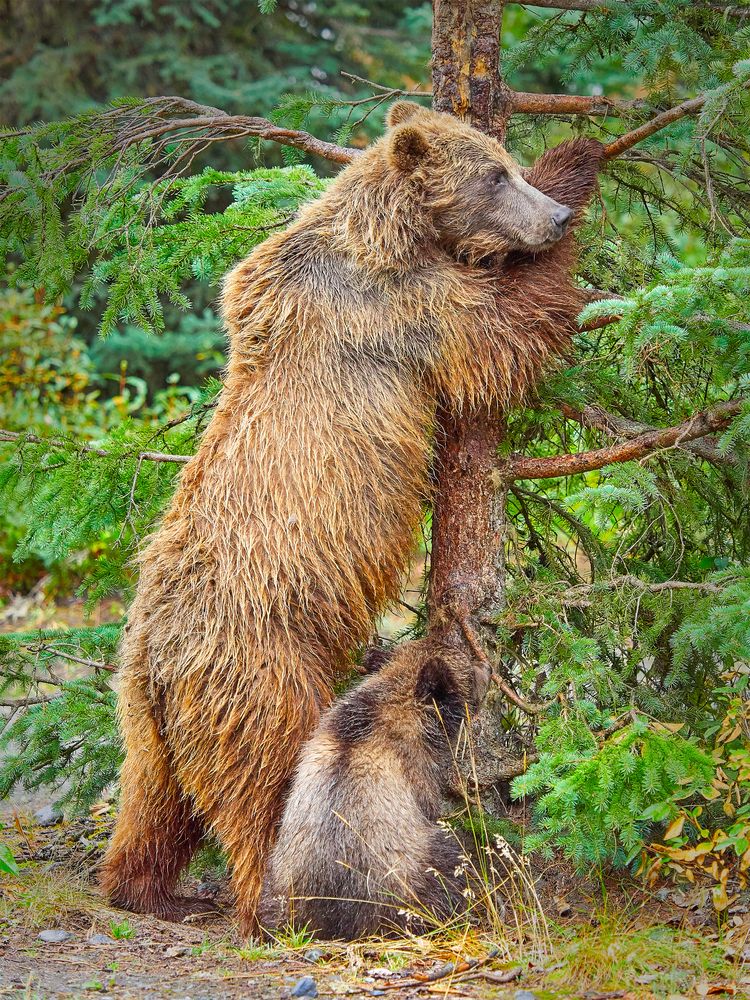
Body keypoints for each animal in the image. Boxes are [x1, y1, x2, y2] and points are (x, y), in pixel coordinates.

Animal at [101, 97, 604, 932]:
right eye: (495, 175)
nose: (555, 218)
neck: (389, 237)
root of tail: (162, 658)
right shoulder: (399, 310)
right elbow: (498, 334)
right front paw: (579, 160)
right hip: (262, 671)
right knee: (264, 780)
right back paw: (263, 896)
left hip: (147, 715)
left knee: (154, 800)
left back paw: (149, 888)